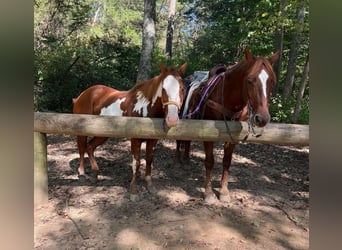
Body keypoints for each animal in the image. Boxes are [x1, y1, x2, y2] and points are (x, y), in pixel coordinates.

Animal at [72, 63, 187, 201]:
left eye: (182, 89)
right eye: (163, 89)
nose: (172, 119)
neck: (145, 108)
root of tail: (82, 95)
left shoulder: (153, 140)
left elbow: (149, 160)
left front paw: (150, 186)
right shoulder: (135, 140)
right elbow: (136, 163)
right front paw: (134, 191)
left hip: (103, 133)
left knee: (90, 147)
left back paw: (95, 174)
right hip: (82, 131)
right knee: (82, 148)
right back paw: (82, 173)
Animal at [178, 47, 280, 203]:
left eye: (272, 82)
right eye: (250, 80)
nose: (261, 118)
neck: (227, 98)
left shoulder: (232, 135)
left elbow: (227, 161)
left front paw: (224, 192)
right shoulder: (208, 134)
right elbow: (209, 161)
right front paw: (208, 193)